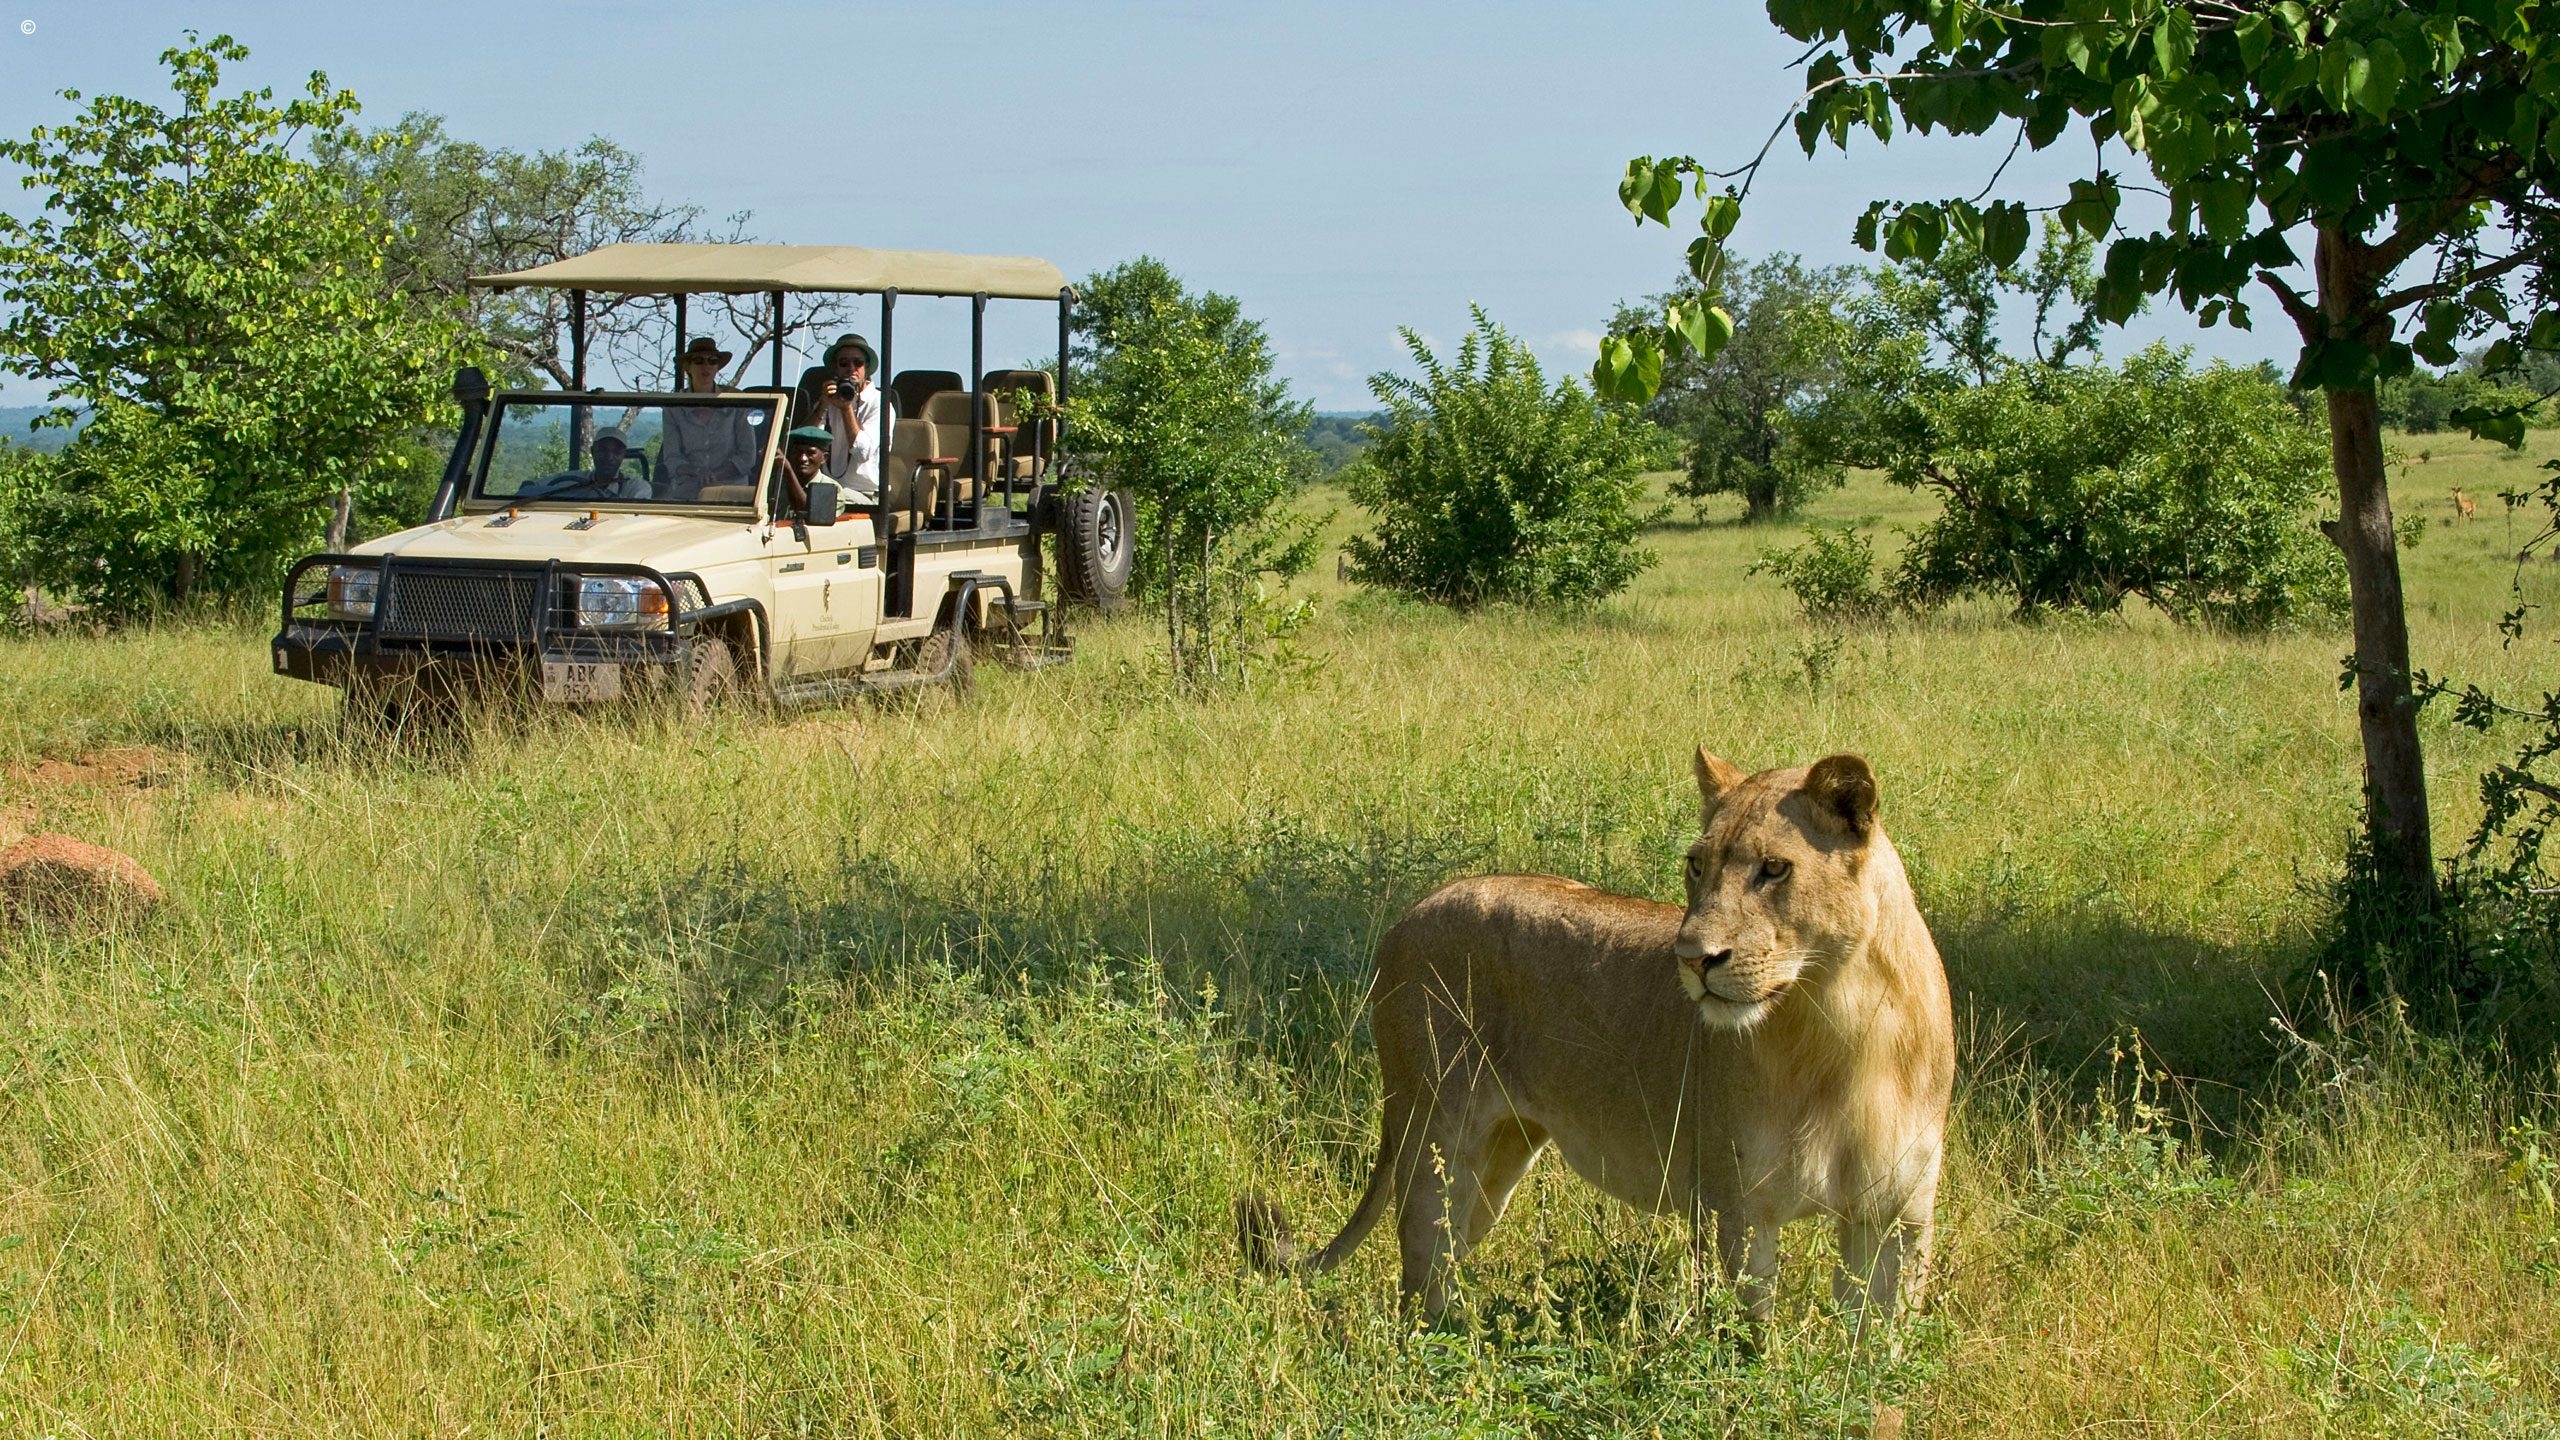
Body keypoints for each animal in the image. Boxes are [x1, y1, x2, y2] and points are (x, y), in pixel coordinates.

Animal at [1238, 748, 1955, 1322]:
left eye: (1775, 869)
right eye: (1696, 866)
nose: (1692, 958)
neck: (1840, 1026)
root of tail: (1405, 918)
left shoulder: (1897, 1217)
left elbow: (1878, 1351)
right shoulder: (1736, 1210)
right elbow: (1751, 1343)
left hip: (1497, 1158)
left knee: (1446, 1254)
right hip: (1433, 1133)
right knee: (1418, 1264)